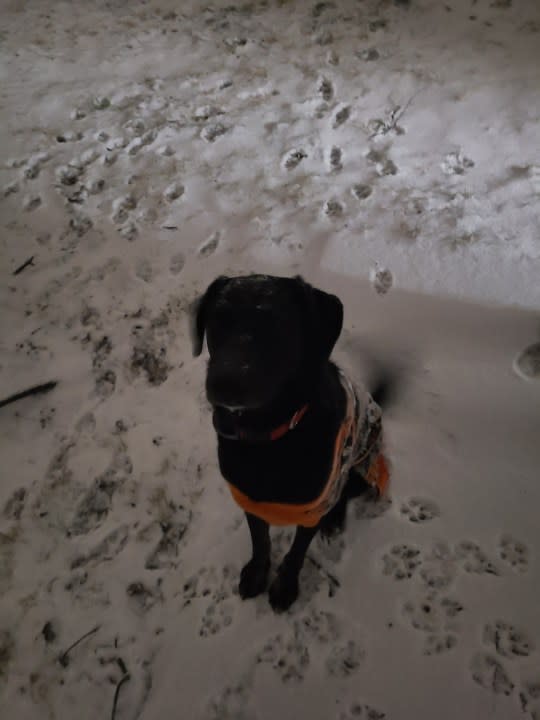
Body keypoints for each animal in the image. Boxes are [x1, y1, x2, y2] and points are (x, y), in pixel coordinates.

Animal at [192, 272, 390, 612]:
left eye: (276, 323)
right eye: (217, 319)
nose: (224, 382)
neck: (268, 440)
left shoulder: (313, 508)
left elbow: (296, 553)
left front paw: (284, 587)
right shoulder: (250, 500)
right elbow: (260, 542)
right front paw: (257, 574)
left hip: (363, 466)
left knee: (345, 494)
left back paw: (334, 520)